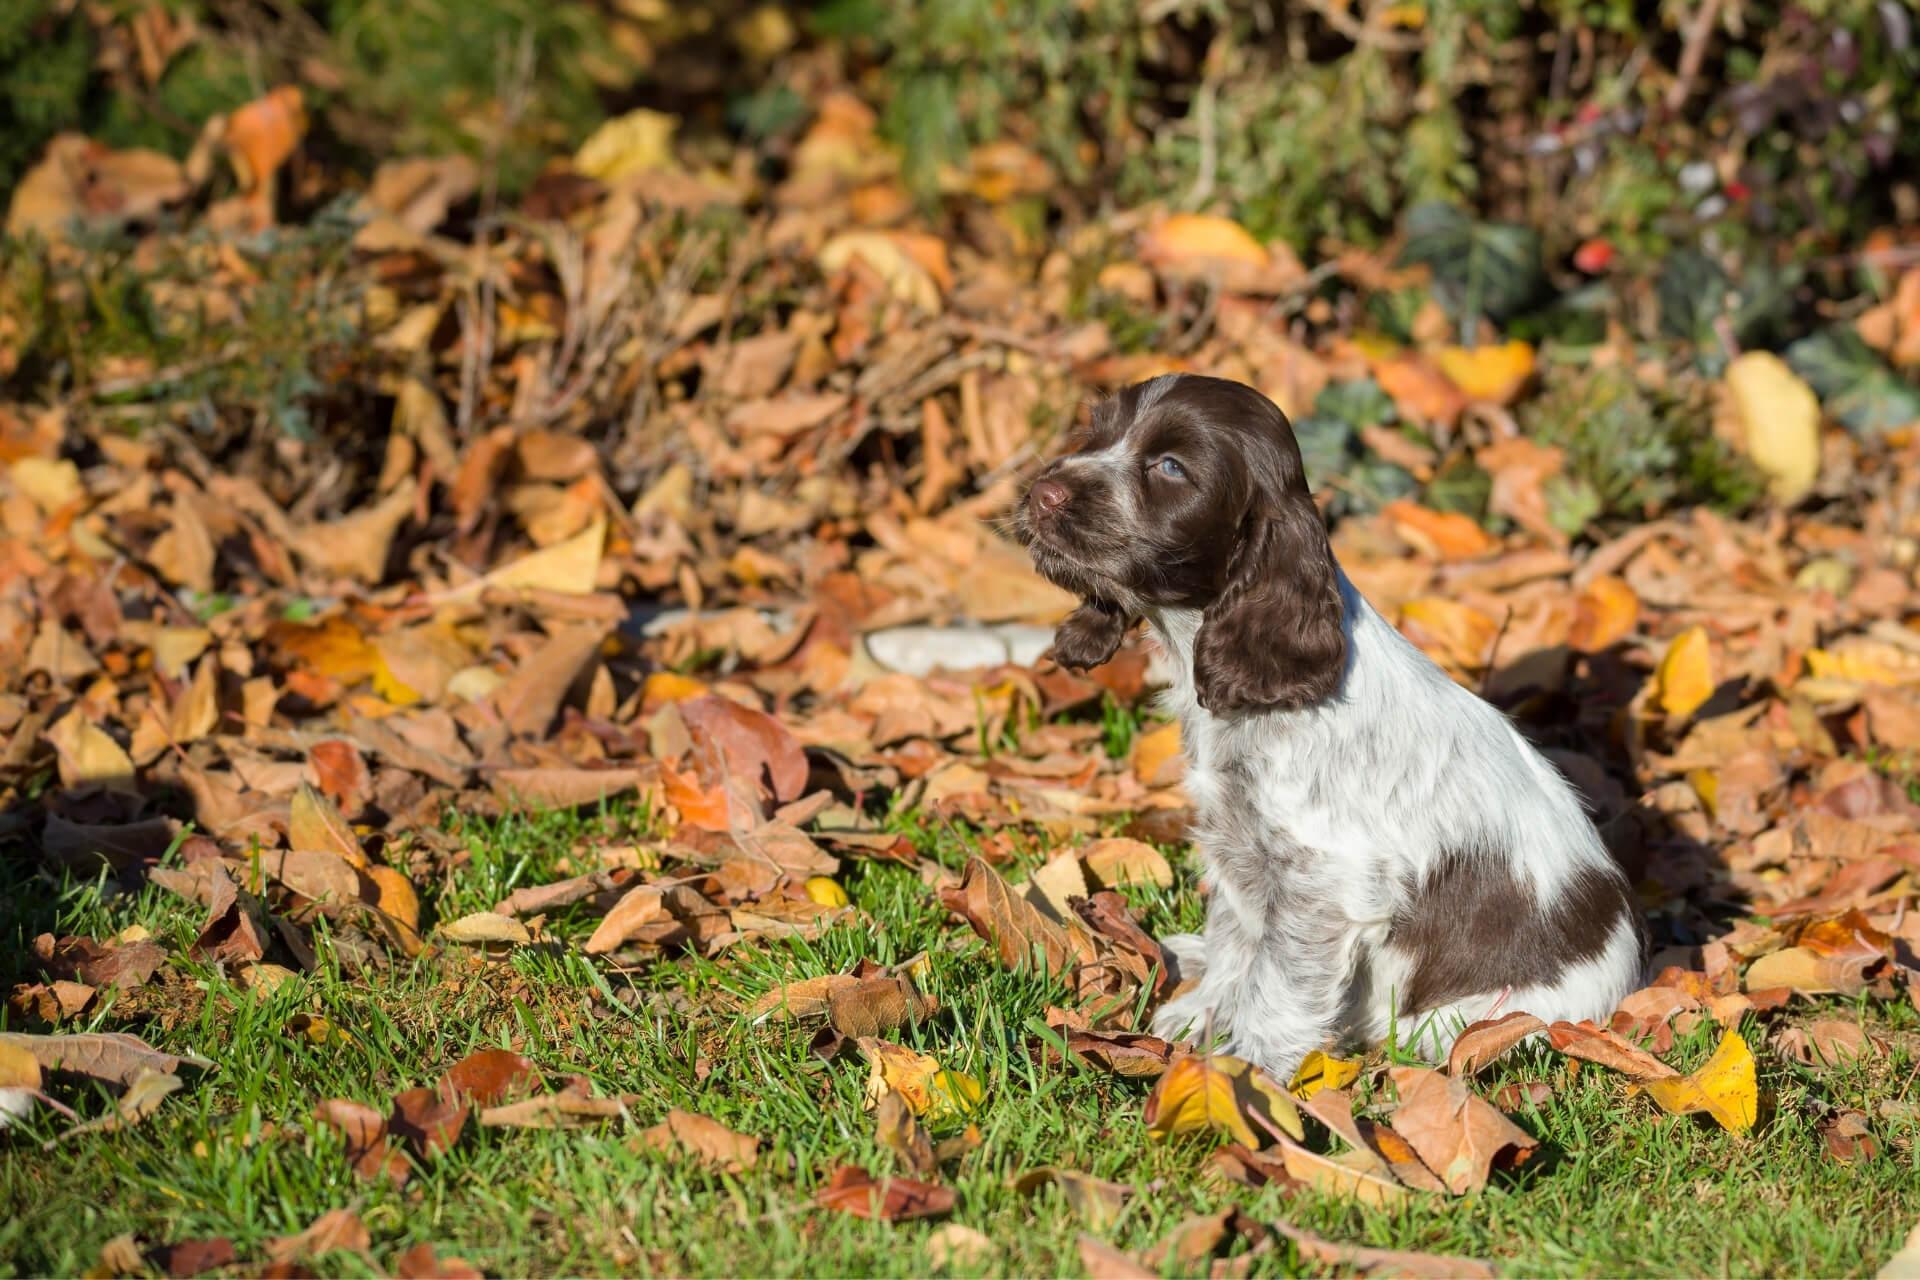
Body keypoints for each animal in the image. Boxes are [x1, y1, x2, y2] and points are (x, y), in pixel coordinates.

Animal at [1029, 372, 1643, 1082]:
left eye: (1171, 467)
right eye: (1094, 435)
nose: (1041, 491)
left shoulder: (1324, 882)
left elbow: (1278, 985)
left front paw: (1250, 1076)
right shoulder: (1241, 847)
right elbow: (1237, 939)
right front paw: (1203, 1017)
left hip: (1464, 1026)